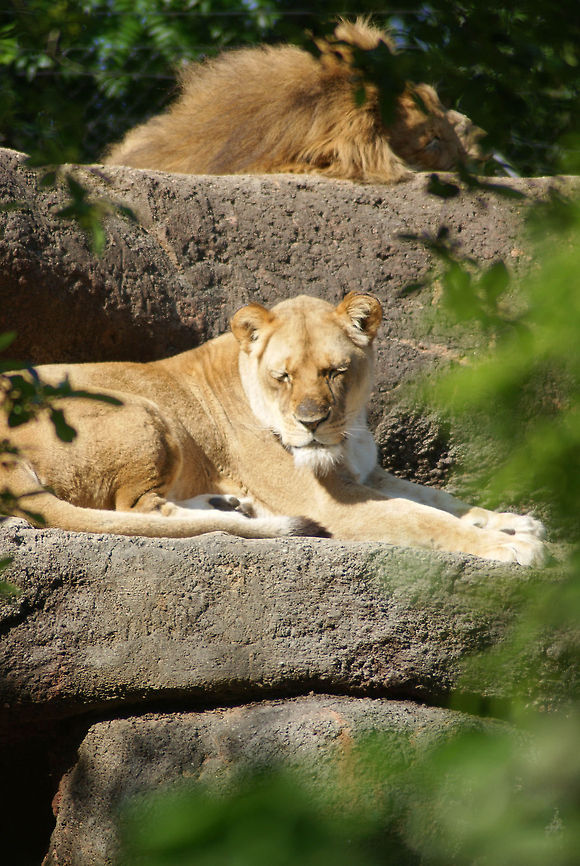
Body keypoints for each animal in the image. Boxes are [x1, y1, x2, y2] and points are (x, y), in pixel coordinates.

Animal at [1, 293, 545, 566]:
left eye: (334, 371)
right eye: (282, 375)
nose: (310, 423)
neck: (348, 433)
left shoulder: (366, 475)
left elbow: (439, 498)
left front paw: (513, 521)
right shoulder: (331, 502)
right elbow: (419, 517)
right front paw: (510, 546)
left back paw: (231, 505)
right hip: (139, 408)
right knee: (136, 510)